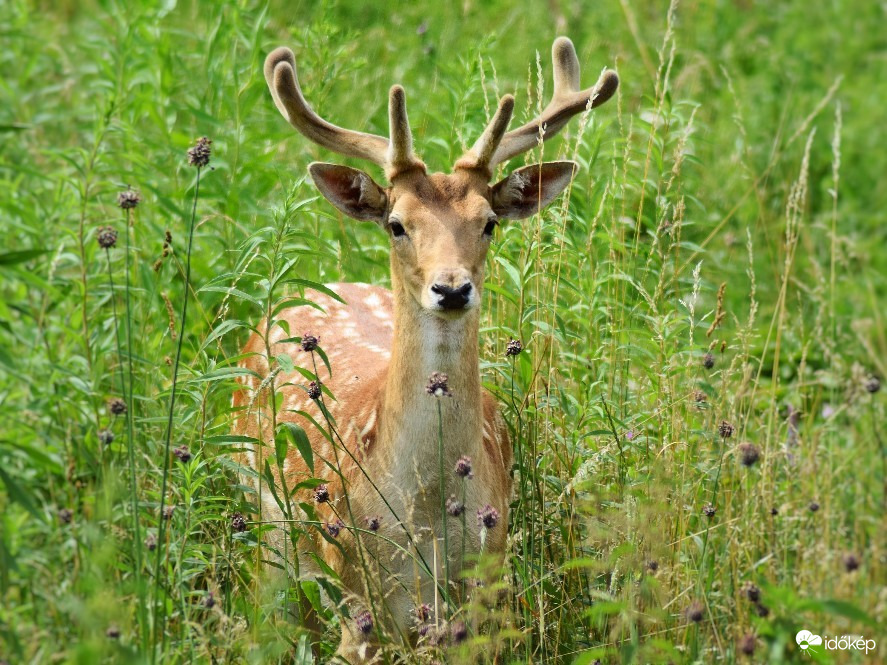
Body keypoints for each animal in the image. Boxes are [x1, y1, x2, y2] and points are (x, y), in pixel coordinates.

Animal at [232, 36, 612, 660]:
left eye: (489, 222)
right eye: (396, 223)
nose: (452, 288)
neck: (428, 518)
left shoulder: (486, 588)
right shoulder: (358, 596)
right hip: (265, 526)